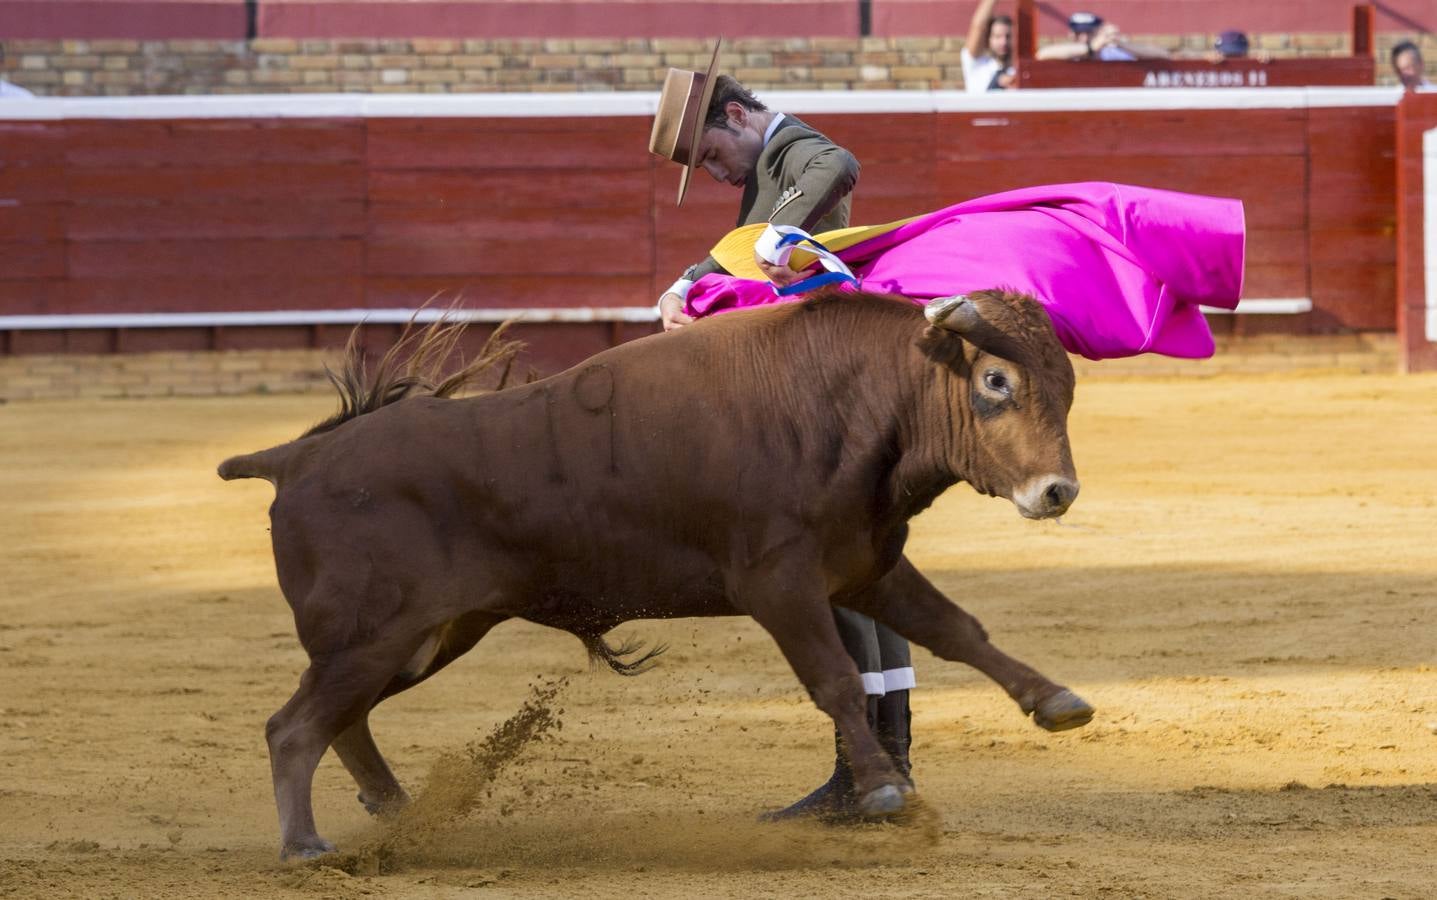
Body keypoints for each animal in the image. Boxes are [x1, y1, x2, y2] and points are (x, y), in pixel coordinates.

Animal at [215, 287, 1086, 856]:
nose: (1057, 492)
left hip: (423, 638)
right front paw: (881, 791)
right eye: (996, 382)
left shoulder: (864, 568)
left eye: (1067, 387)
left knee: (341, 720)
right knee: (295, 726)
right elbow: (835, 678)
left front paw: (1056, 701)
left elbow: (958, 630)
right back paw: (307, 845)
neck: (844, 403)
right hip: (375, 636)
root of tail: (296, 457)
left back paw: (402, 815)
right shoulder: (778, 583)